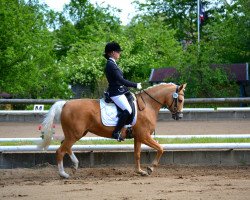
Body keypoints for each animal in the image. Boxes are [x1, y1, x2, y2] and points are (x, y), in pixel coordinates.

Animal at [39, 83, 186, 178]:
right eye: (179, 99)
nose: (179, 116)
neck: (148, 105)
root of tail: (65, 103)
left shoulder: (138, 137)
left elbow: (137, 154)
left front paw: (140, 171)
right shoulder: (144, 136)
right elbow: (161, 148)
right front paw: (150, 168)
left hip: (77, 134)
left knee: (66, 147)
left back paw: (75, 165)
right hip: (75, 134)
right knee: (60, 150)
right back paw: (63, 174)